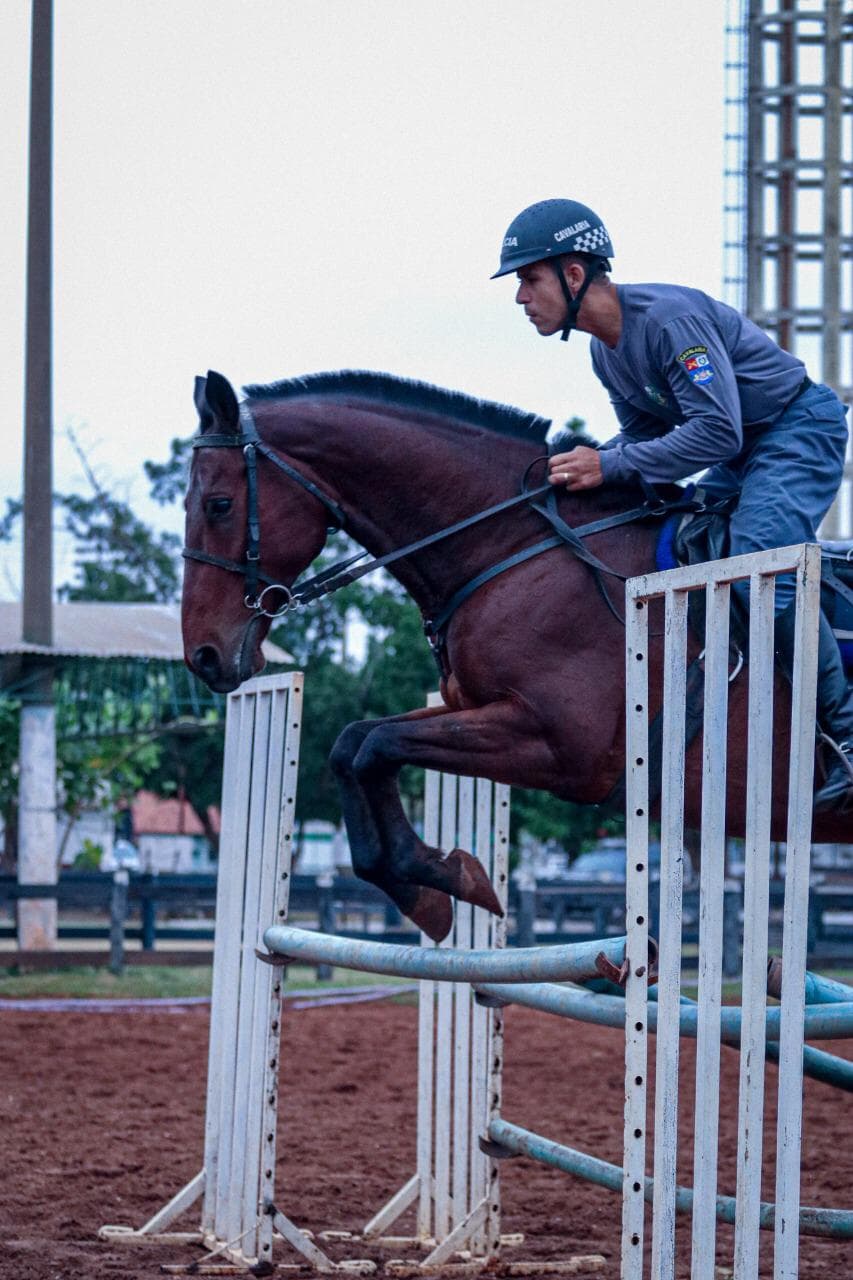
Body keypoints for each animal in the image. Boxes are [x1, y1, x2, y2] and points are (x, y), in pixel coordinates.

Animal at [179, 371, 845, 942]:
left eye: (218, 504)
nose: (204, 656)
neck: (515, 546)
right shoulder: (476, 707)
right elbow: (355, 745)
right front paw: (429, 890)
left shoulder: (558, 745)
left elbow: (378, 746)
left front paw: (449, 879)